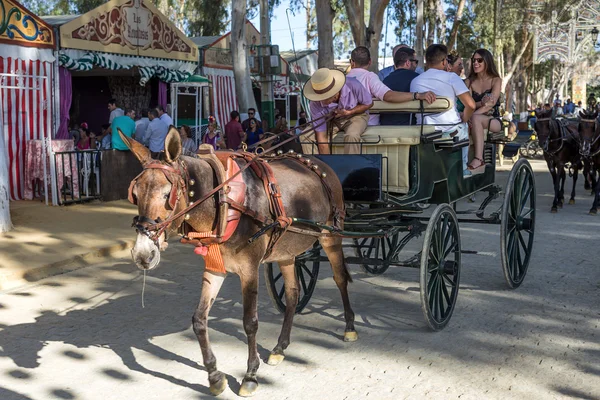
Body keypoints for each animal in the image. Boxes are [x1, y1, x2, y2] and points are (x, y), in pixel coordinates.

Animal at [119, 128, 358, 396]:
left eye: (166, 194)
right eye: (135, 194)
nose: (142, 254)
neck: (222, 201)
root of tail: (317, 162)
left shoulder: (249, 268)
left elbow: (250, 322)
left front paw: (250, 375)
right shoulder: (215, 267)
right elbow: (199, 320)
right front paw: (214, 376)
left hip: (331, 235)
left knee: (340, 278)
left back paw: (349, 327)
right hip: (286, 251)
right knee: (293, 293)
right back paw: (280, 347)